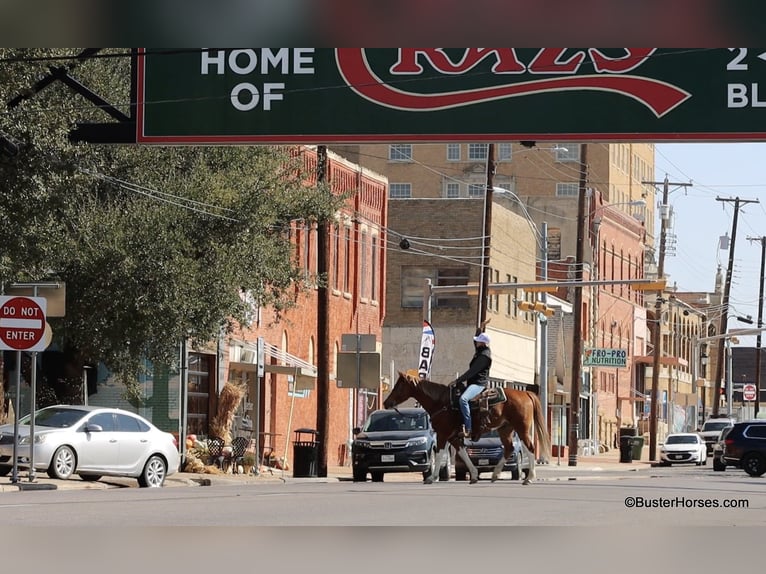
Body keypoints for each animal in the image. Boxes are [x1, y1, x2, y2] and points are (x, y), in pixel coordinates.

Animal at [384, 374, 552, 486]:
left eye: (399, 386)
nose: (386, 403)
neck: (441, 402)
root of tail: (525, 393)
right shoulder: (453, 437)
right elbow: (463, 454)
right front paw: (474, 476)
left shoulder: (443, 435)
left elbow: (438, 454)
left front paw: (432, 478)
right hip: (506, 429)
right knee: (509, 448)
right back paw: (495, 475)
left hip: (521, 429)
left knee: (530, 448)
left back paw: (529, 478)